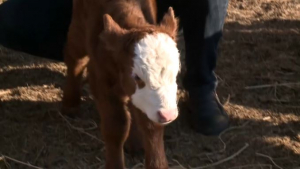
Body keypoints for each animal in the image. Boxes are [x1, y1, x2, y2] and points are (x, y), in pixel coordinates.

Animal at [61, 0, 180, 168]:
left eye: (176, 72)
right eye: (137, 76)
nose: (168, 115)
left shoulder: (153, 104)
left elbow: (151, 126)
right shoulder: (101, 80)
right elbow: (116, 126)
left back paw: (135, 144)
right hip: (77, 26)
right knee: (75, 59)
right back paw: (70, 106)